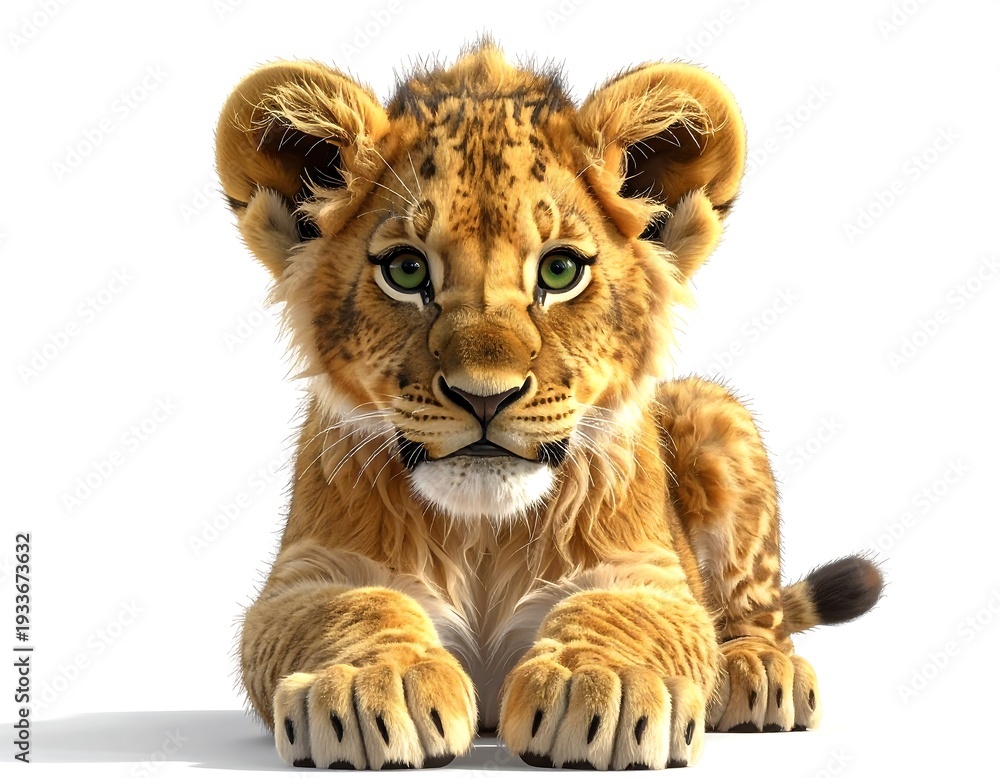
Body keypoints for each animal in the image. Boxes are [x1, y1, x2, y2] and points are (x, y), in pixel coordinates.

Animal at [214, 41, 883, 770]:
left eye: (560, 272)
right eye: (406, 271)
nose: (485, 396)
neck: (481, 533)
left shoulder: (651, 572)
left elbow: (623, 615)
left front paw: (604, 684)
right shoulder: (305, 574)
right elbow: (353, 608)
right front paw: (374, 680)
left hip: (716, 413)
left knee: (756, 613)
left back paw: (759, 670)